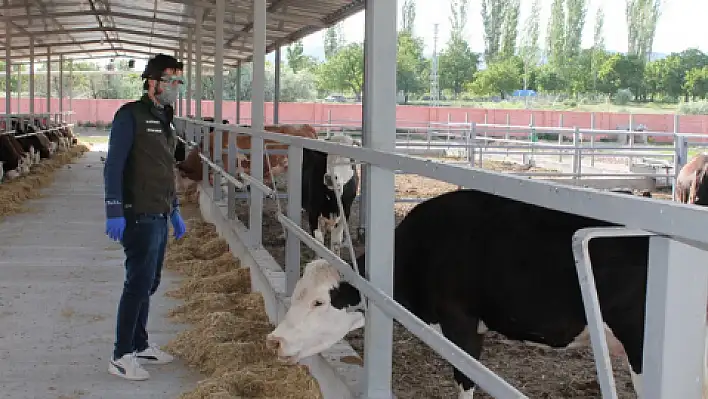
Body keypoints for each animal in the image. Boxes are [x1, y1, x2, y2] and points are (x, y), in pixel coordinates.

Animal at [266, 188, 708, 399]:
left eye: (319, 301)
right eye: (298, 291)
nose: (275, 340)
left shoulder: (459, 321)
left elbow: (464, 378)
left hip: (642, 351)